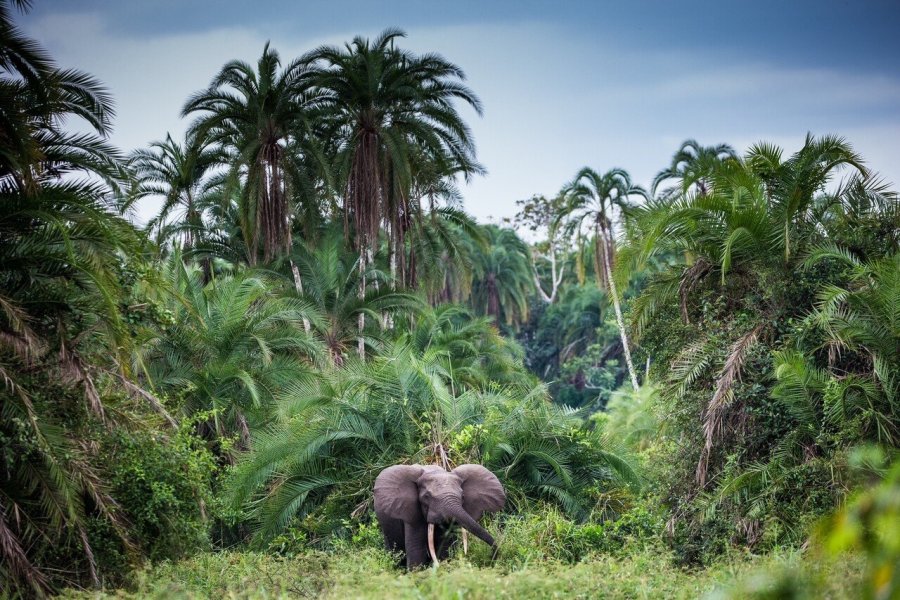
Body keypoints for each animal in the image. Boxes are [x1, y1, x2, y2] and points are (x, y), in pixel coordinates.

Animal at [372, 464, 506, 568]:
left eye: (462, 496)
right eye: (426, 497)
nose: (492, 560)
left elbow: (446, 549)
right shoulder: (413, 514)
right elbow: (416, 550)